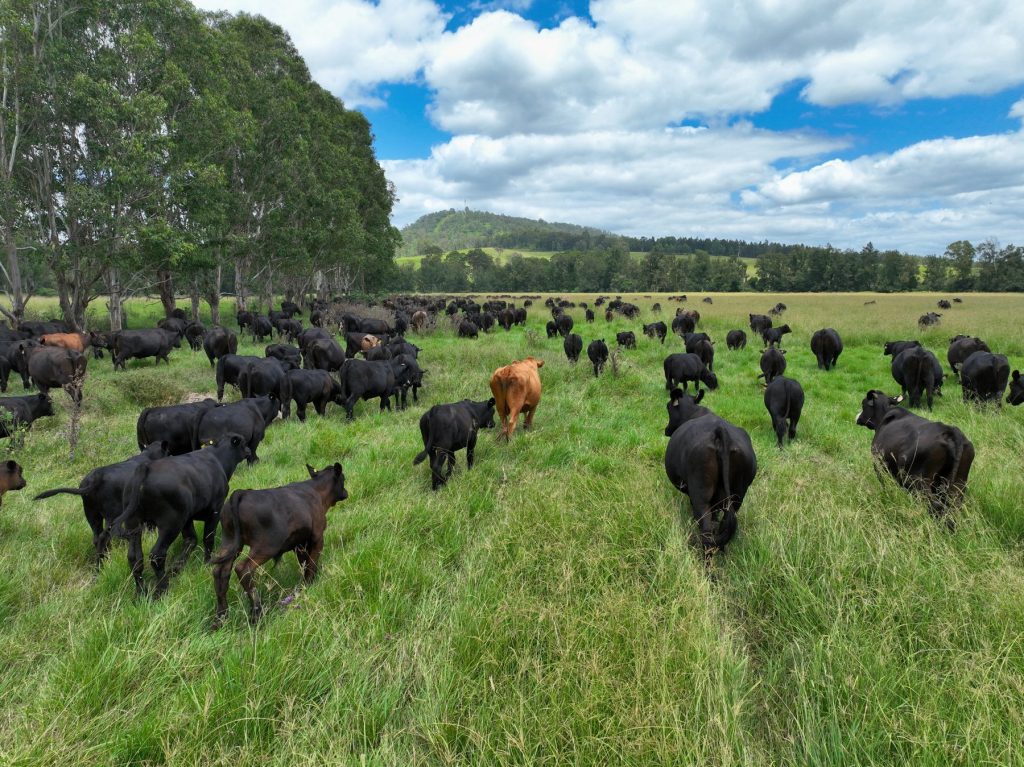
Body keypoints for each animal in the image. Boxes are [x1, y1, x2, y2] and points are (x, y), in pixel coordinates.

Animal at [112, 434, 251, 596]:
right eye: (244, 443)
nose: (249, 451)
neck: (218, 459)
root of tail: (146, 467)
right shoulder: (215, 510)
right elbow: (208, 538)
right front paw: (207, 563)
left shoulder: (188, 518)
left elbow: (191, 540)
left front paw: (176, 568)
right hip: (171, 523)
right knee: (157, 554)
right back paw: (162, 588)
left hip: (134, 523)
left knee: (135, 558)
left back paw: (141, 592)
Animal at [211, 463, 348, 627]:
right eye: (343, 479)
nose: (346, 493)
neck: (316, 491)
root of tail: (241, 493)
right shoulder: (317, 538)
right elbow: (312, 564)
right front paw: (310, 584)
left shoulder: (299, 544)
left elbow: (304, 564)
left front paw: (302, 587)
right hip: (266, 546)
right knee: (243, 569)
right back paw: (257, 614)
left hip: (230, 542)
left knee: (220, 572)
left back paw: (221, 618)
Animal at [663, 389, 757, 564]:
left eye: (668, 407)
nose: (666, 430)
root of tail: (720, 431)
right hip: (737, 494)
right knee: (725, 523)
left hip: (701, 492)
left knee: (706, 531)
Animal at [856, 390, 973, 527]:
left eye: (863, 404)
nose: (858, 417)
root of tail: (950, 431)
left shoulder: (879, 465)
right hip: (959, 482)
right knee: (954, 505)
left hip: (918, 481)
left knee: (936, 506)